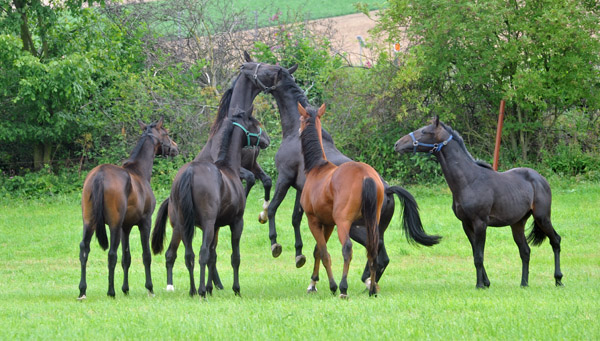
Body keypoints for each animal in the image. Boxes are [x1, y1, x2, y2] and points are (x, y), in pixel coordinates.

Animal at [77, 117, 178, 298]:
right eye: (166, 133)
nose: (175, 147)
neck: (139, 171)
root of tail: (100, 175)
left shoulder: (126, 227)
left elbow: (126, 258)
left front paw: (125, 289)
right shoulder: (144, 222)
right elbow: (146, 255)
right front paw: (149, 288)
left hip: (89, 222)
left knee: (84, 250)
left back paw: (82, 290)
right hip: (114, 225)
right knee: (111, 254)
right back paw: (111, 291)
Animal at [151, 110, 270, 296]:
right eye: (256, 125)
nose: (266, 139)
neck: (229, 168)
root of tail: (190, 172)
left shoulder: (215, 227)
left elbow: (213, 257)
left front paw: (210, 287)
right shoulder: (236, 223)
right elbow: (234, 257)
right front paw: (235, 289)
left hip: (183, 226)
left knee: (189, 255)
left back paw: (193, 290)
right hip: (203, 225)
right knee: (201, 253)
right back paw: (200, 291)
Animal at [298, 102, 384, 296]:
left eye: (300, 119)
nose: (298, 131)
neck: (318, 168)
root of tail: (365, 175)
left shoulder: (314, 221)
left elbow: (323, 253)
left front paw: (332, 285)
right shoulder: (328, 223)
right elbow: (317, 251)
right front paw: (313, 283)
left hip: (343, 222)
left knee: (347, 248)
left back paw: (344, 288)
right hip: (372, 222)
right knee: (372, 249)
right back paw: (372, 289)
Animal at [394, 117, 564, 286]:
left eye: (424, 131)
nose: (397, 144)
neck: (469, 181)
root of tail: (540, 179)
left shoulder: (480, 223)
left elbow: (479, 256)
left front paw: (480, 285)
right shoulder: (466, 224)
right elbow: (475, 253)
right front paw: (485, 283)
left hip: (542, 217)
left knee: (555, 241)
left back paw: (558, 279)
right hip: (517, 223)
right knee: (525, 251)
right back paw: (524, 283)